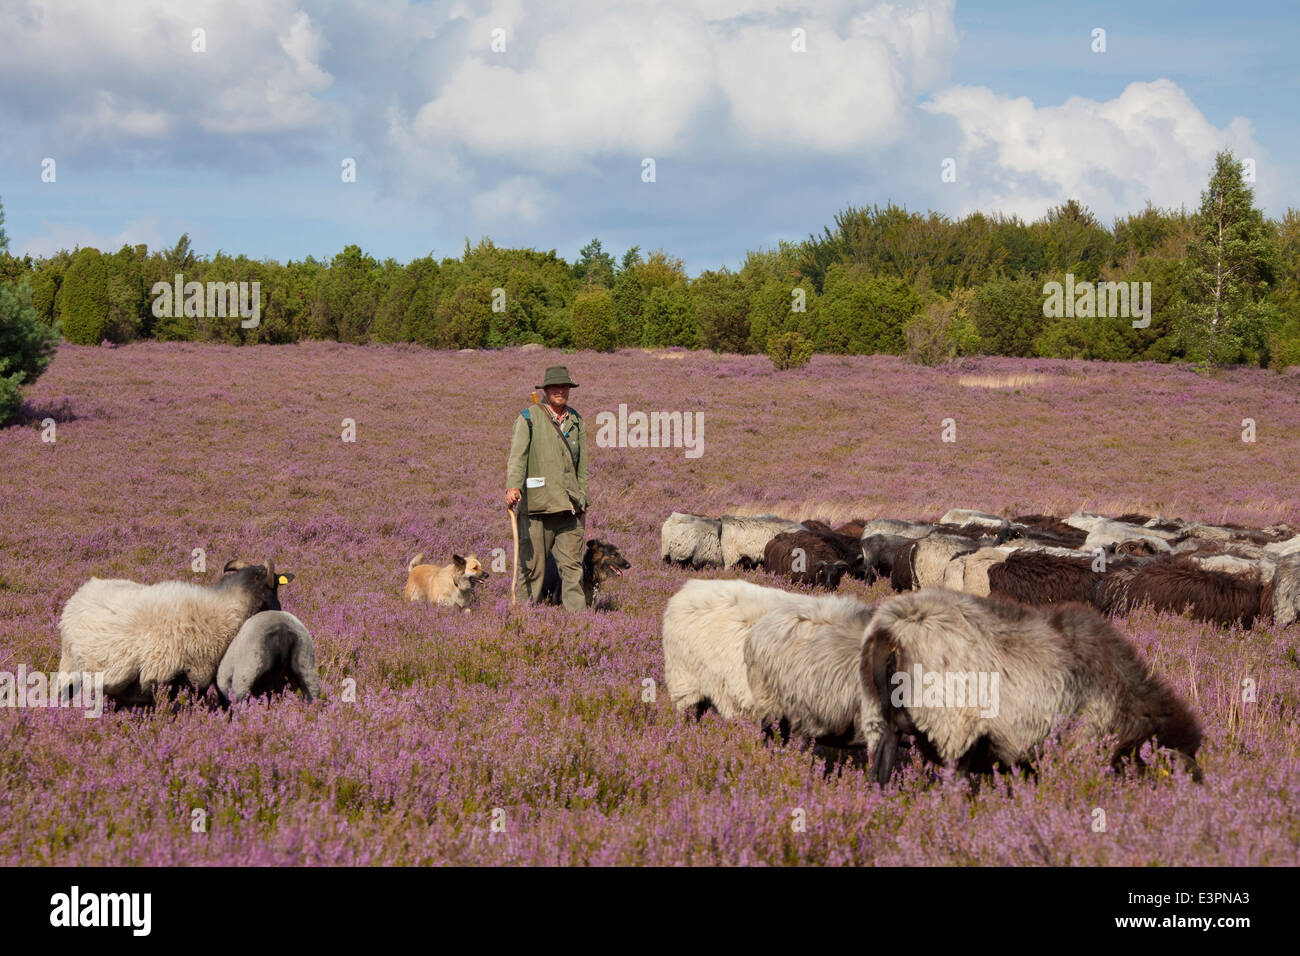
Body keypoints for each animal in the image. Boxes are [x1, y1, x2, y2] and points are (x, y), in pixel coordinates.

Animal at [59, 556, 292, 707]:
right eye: (274, 589)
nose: (282, 612)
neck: (220, 611)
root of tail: (81, 592)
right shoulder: (163, 679)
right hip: (69, 670)